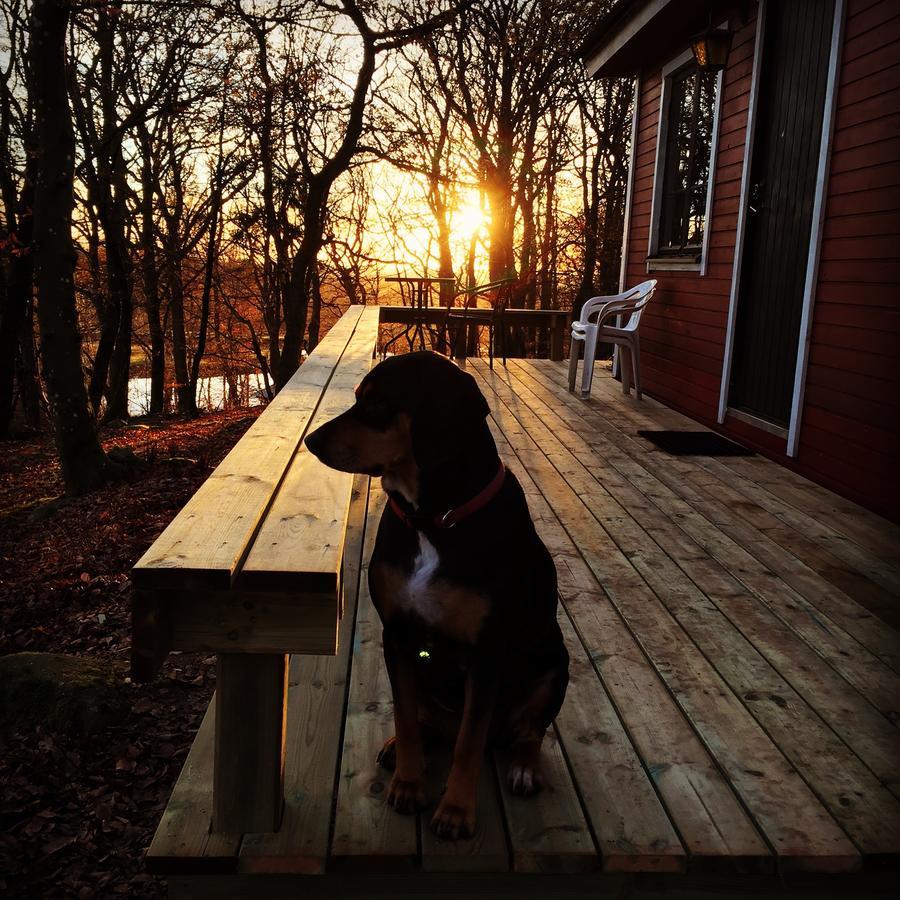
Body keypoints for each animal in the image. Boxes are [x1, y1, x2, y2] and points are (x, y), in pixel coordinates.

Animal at [306, 350, 568, 836]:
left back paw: (523, 765)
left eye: (377, 403)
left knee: (529, 730)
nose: (312, 441)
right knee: (428, 720)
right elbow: (406, 716)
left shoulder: (486, 653)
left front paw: (456, 810)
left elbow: (468, 742)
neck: (434, 518)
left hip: (556, 664)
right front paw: (409, 785)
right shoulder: (397, 635)